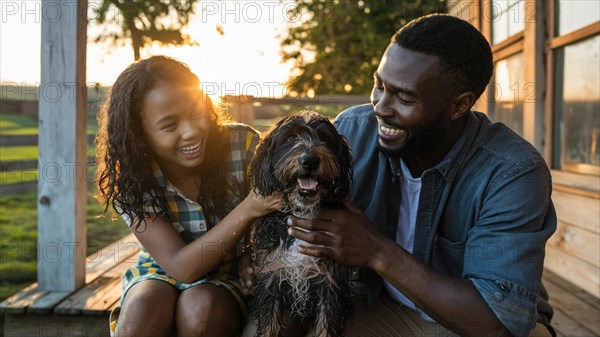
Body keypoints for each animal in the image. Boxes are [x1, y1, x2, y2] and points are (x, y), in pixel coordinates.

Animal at [247, 111, 354, 336]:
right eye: (290, 138)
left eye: (324, 138)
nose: (310, 160)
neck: (302, 212)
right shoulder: (271, 277)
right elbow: (268, 325)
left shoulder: (330, 284)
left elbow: (326, 328)